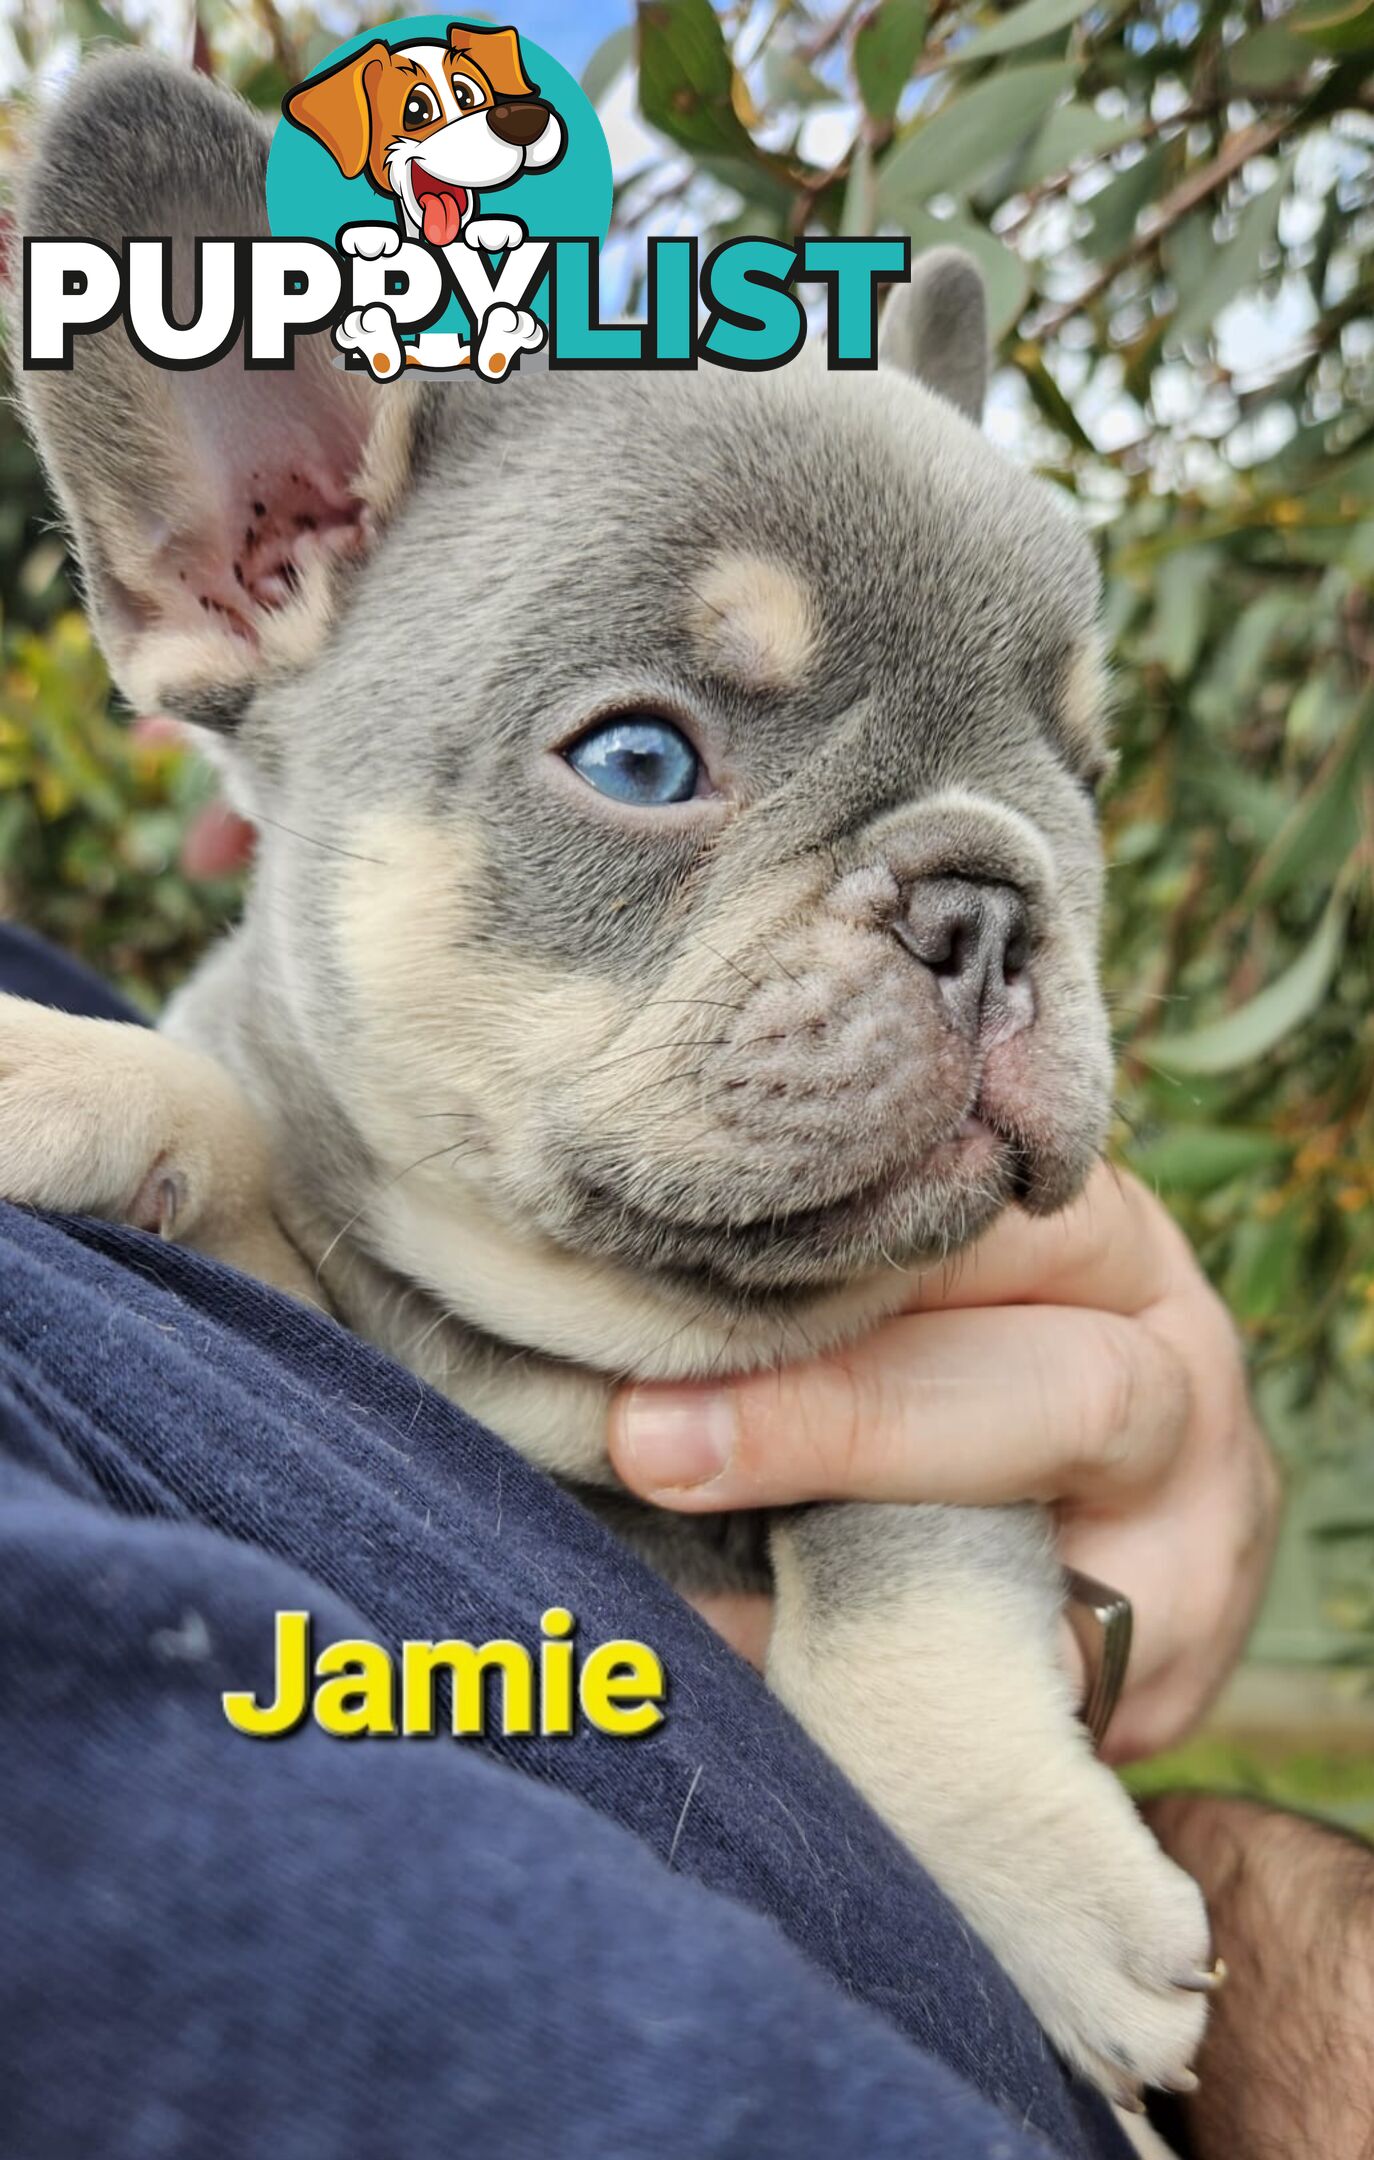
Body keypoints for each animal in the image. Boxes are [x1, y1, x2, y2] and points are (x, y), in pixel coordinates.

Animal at [8, 54, 1209, 2108]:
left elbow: (902, 1550)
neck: (590, 1328)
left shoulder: (954, 1360)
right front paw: (42, 1063)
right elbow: (212, 1112)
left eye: (1081, 775)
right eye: (641, 762)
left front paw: (1038, 1872)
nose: (991, 901)